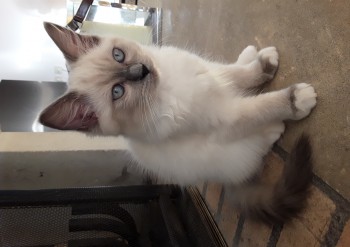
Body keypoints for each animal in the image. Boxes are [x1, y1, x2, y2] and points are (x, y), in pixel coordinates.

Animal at [39, 22, 318, 224]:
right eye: (117, 92)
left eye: (118, 55)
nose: (140, 70)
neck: (168, 85)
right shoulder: (224, 116)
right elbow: (262, 106)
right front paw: (299, 99)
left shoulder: (208, 74)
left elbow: (243, 75)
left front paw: (266, 64)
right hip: (226, 153)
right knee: (256, 145)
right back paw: (274, 128)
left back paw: (254, 54)